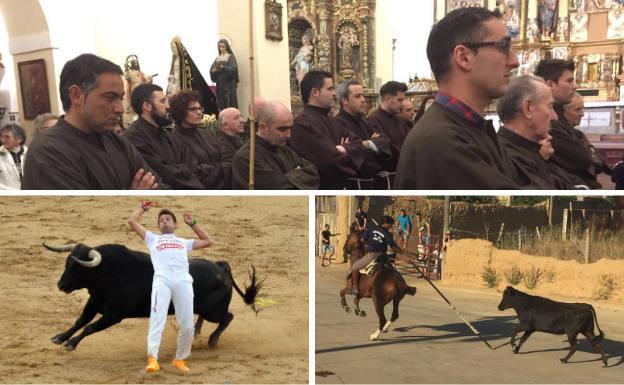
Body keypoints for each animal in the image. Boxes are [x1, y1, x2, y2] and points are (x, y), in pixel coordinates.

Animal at [45, 243, 260, 352]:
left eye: (78, 267)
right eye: (66, 263)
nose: (61, 285)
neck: (109, 273)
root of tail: (220, 266)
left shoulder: (114, 314)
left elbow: (90, 327)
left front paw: (71, 344)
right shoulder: (94, 303)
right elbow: (80, 321)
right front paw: (60, 337)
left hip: (212, 311)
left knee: (227, 317)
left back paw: (212, 340)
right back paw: (197, 332)